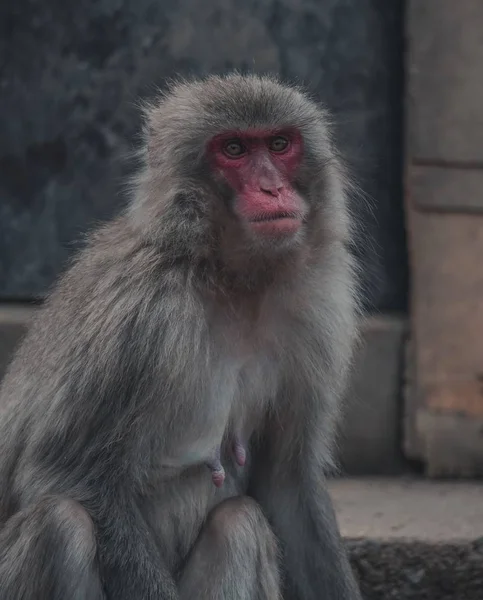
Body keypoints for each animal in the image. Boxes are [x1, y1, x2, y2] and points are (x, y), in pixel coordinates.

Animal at [0, 75, 364, 600]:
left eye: (279, 144)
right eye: (233, 149)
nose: (272, 188)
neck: (229, 277)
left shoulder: (315, 310)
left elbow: (287, 483)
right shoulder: (141, 314)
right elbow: (65, 472)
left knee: (238, 522)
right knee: (60, 524)